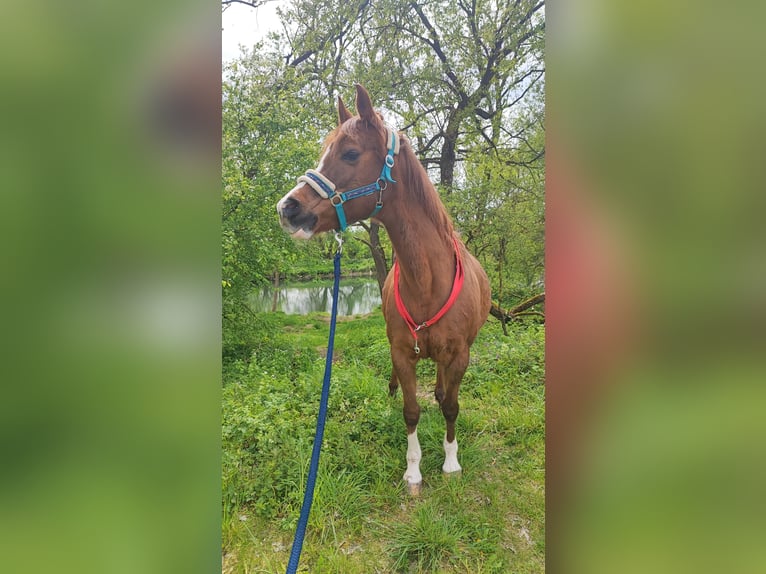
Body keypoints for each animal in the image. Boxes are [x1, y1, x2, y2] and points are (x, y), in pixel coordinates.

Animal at [278, 84, 492, 496]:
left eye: (349, 153)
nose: (287, 208)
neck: (428, 282)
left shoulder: (459, 355)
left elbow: (451, 406)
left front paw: (451, 462)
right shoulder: (403, 353)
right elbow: (411, 410)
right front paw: (413, 472)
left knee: (443, 391)